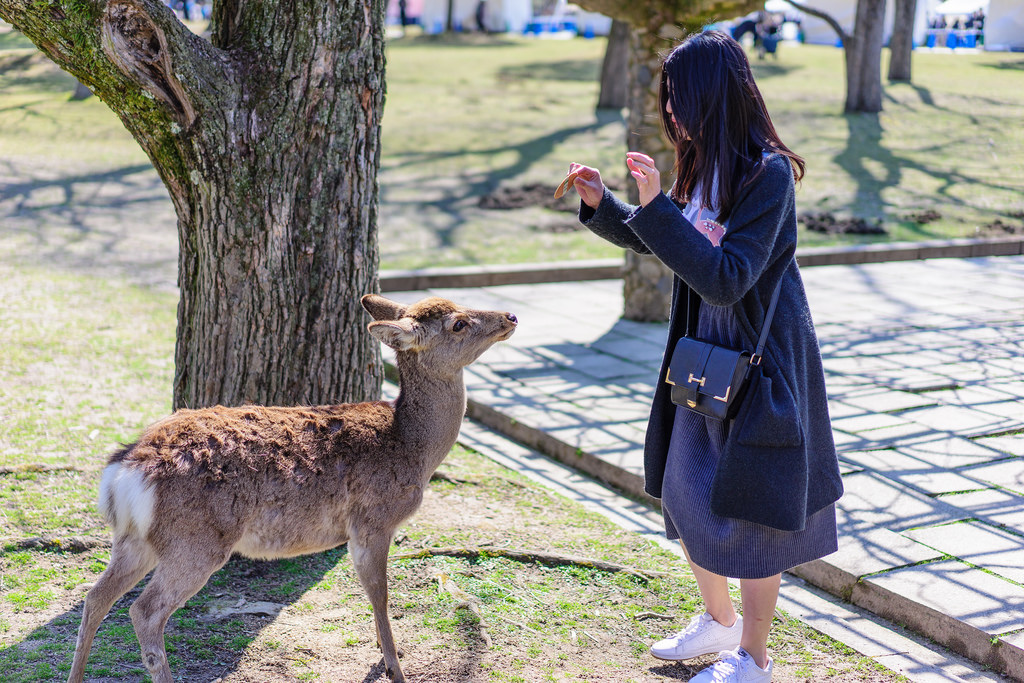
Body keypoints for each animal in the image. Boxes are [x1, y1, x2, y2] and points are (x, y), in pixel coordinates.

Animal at [70, 294, 520, 683]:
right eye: (458, 323)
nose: (511, 316)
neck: (414, 448)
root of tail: (126, 470)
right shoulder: (373, 521)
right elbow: (380, 593)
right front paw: (395, 668)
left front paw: (385, 651)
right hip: (196, 541)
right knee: (144, 611)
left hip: (136, 539)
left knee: (96, 597)